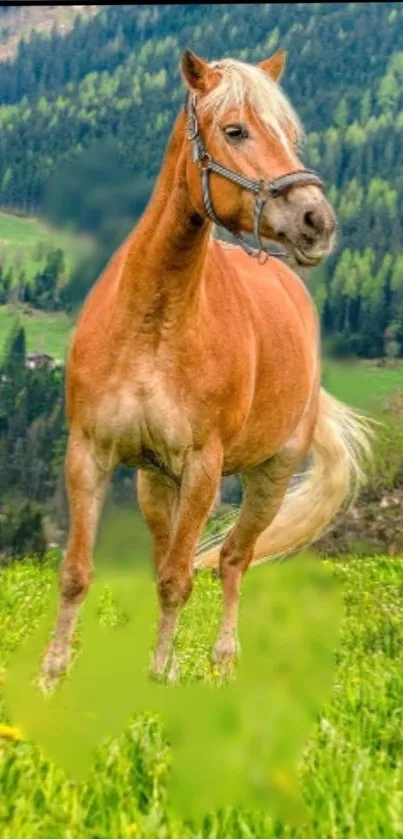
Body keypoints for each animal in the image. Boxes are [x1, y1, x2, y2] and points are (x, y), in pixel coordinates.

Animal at [41, 47, 372, 688]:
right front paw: (51, 675)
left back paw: (223, 662)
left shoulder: (201, 468)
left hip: (269, 478)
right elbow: (77, 572)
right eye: (236, 130)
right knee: (172, 550)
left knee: (235, 560)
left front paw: (158, 677)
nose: (317, 220)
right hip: (154, 483)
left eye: (288, 133)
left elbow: (179, 579)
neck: (151, 324)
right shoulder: (89, 453)